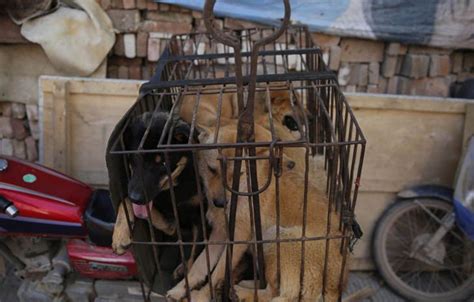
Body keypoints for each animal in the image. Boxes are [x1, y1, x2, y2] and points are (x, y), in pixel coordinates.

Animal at [111, 111, 209, 280]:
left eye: (163, 163)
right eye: (133, 158)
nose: (136, 197)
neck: (173, 190)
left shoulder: (200, 216)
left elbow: (196, 252)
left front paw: (187, 281)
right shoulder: (170, 225)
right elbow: (127, 201)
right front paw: (120, 235)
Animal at [168, 123, 346, 302]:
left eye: (238, 174)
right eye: (212, 170)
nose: (219, 203)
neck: (243, 190)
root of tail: (333, 286)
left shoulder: (238, 239)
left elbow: (218, 271)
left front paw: (201, 296)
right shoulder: (219, 233)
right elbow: (199, 266)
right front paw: (179, 289)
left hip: (276, 237)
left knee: (281, 293)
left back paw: (241, 292)